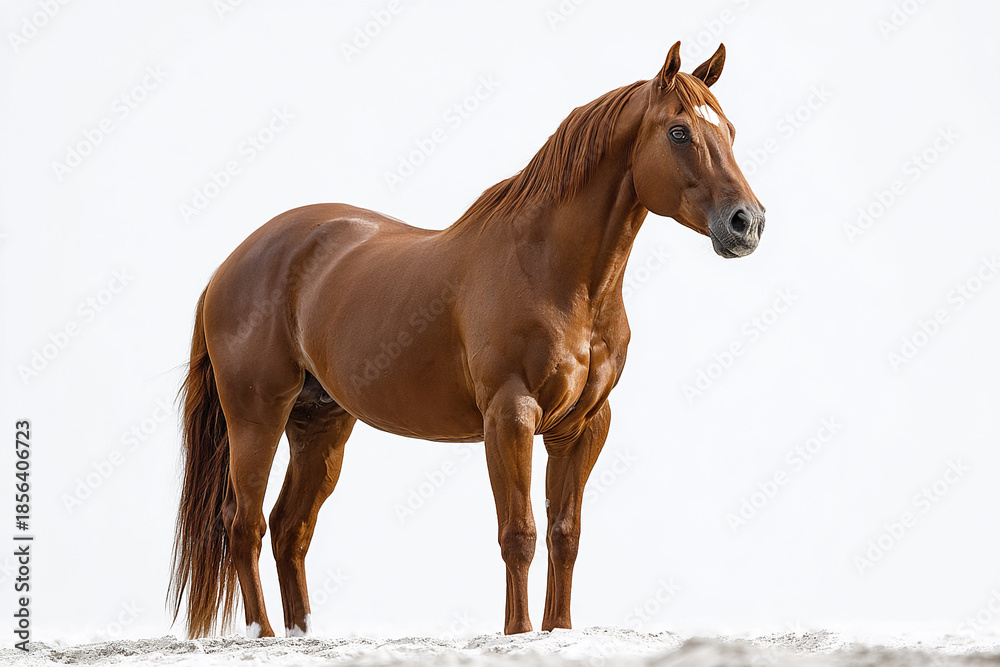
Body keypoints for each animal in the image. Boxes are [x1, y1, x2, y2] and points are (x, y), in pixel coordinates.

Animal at [169, 41, 765, 639]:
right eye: (679, 132)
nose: (747, 223)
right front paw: (518, 631)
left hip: (320, 422)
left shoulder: (583, 425)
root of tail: (230, 264)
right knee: (243, 524)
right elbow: (519, 533)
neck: (556, 275)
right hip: (257, 415)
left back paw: (301, 634)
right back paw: (264, 635)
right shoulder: (509, 414)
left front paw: (559, 629)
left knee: (290, 526)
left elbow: (565, 535)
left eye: (732, 130)